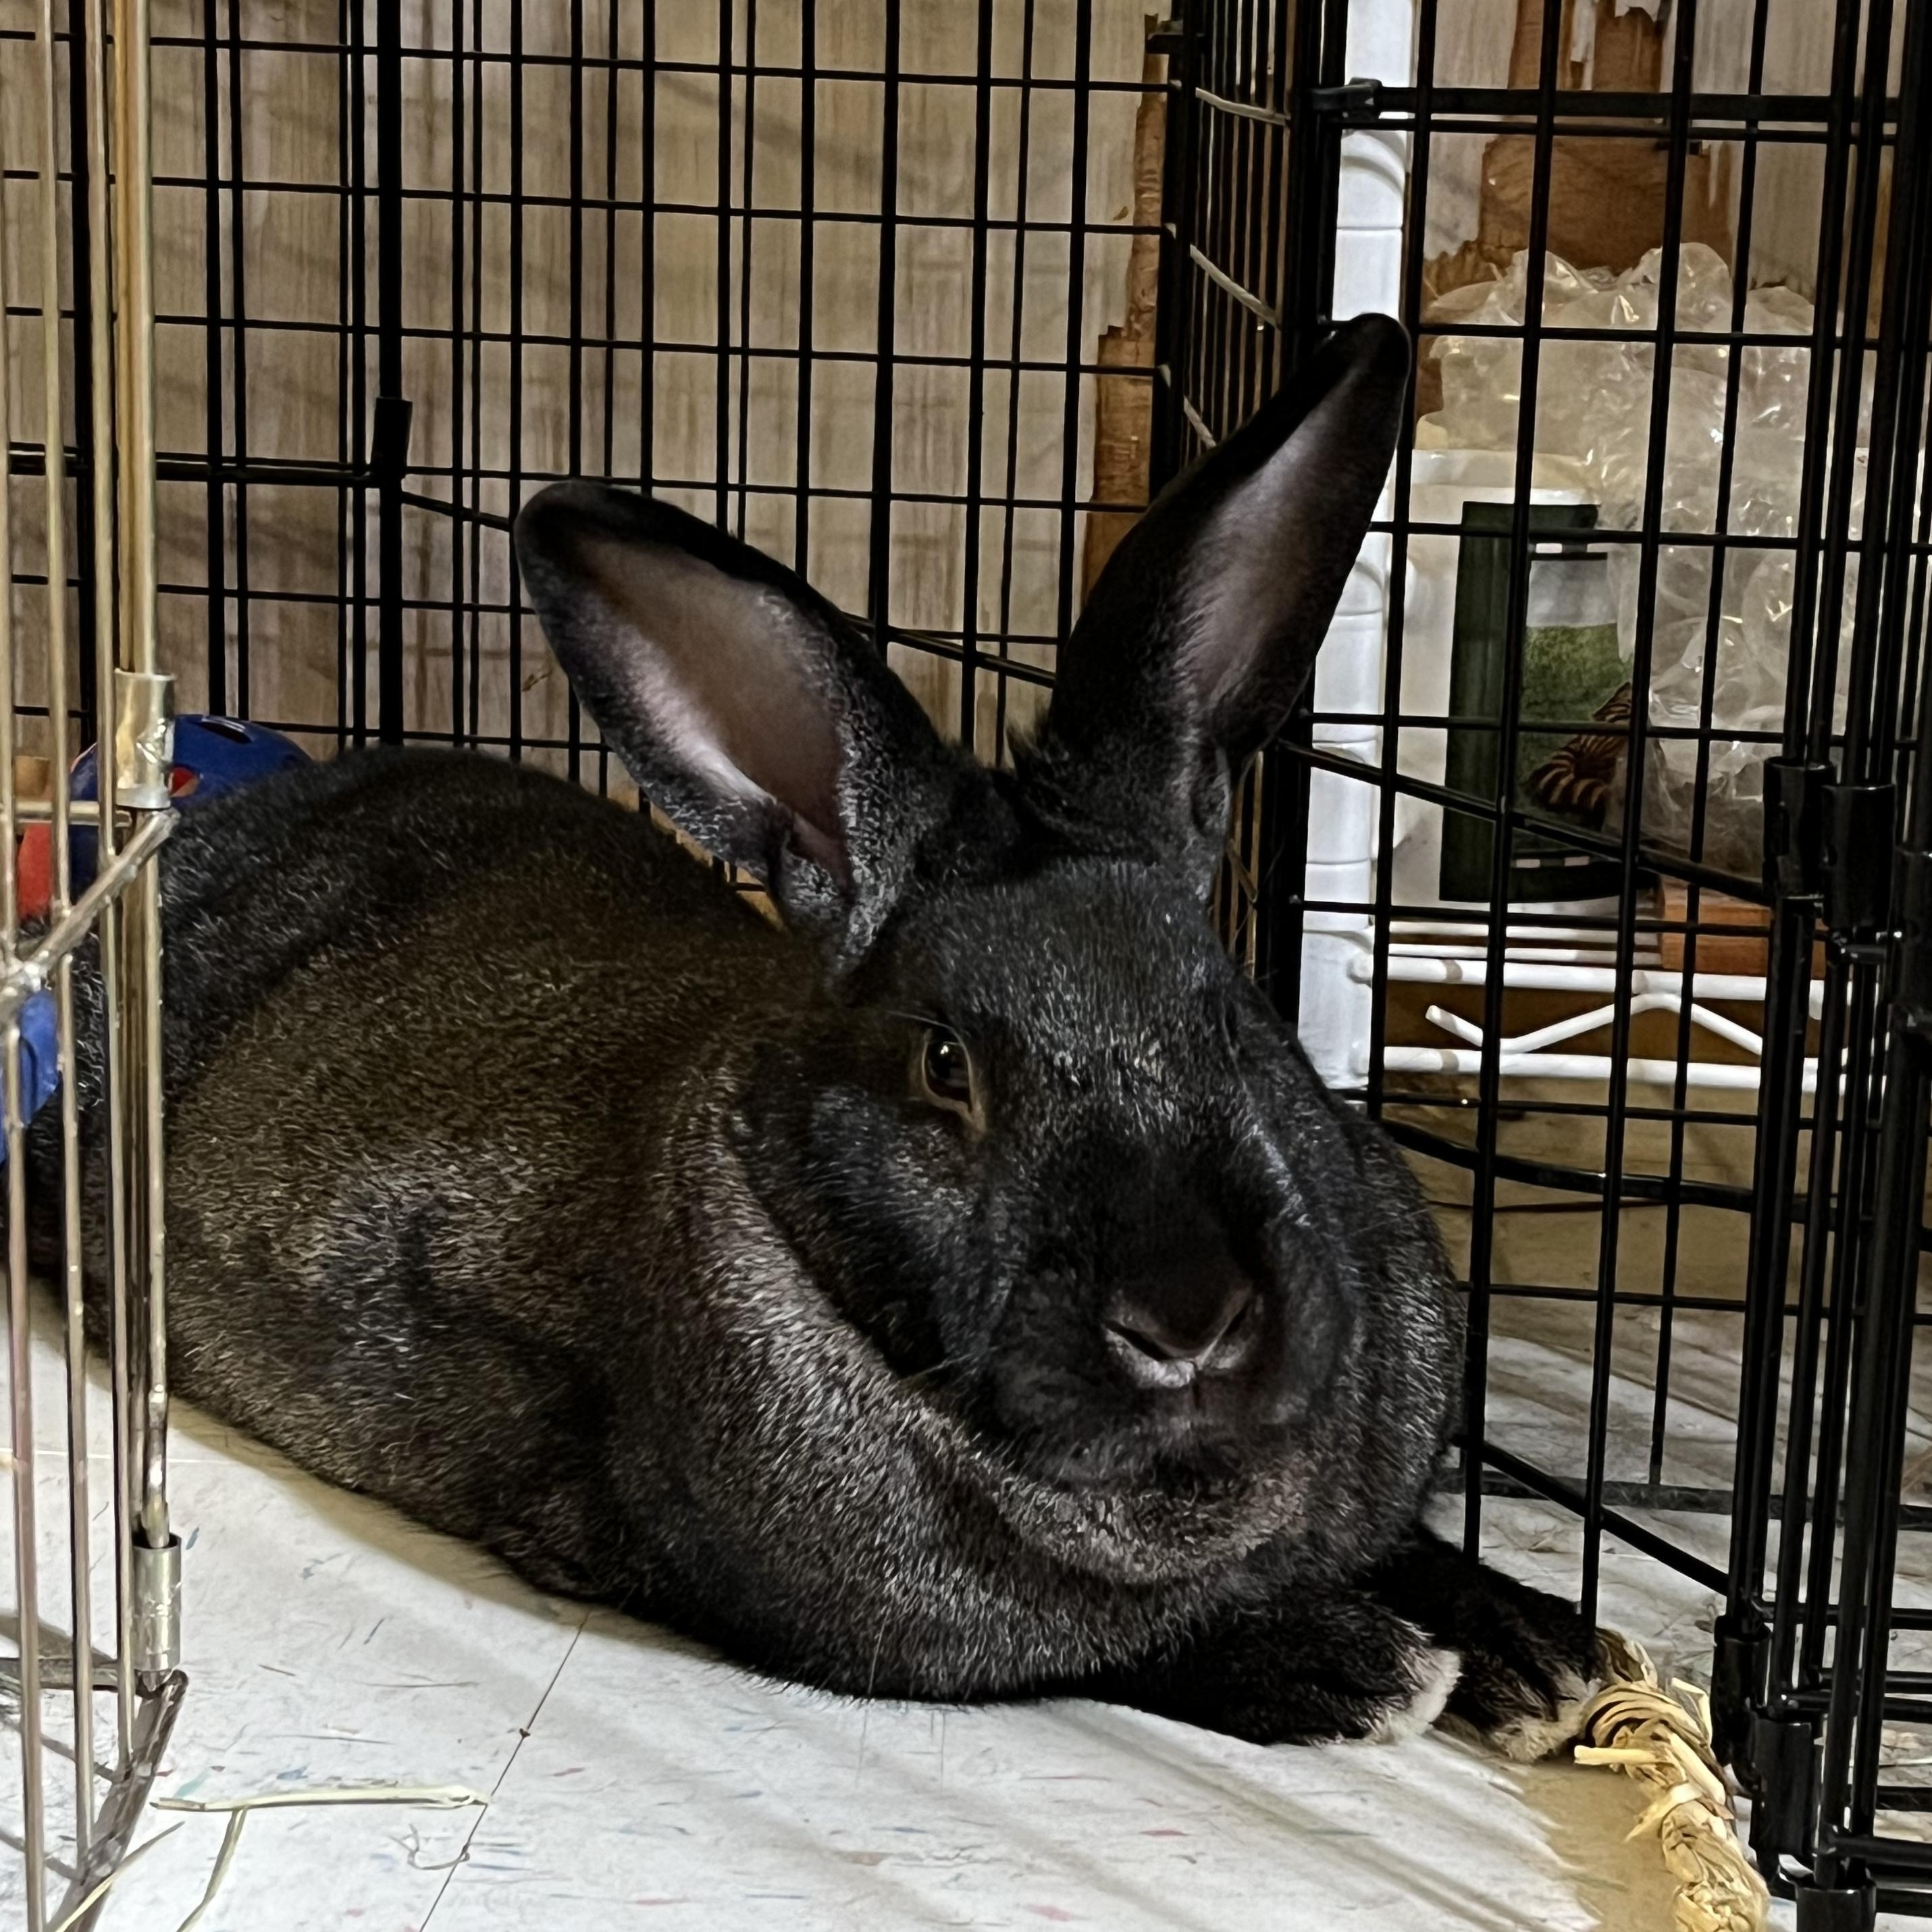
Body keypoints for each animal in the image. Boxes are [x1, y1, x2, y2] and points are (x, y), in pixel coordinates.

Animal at [35, 314, 1602, 1759]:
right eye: (944, 1066)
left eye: (1230, 1006)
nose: (1188, 1324)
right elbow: (1128, 1641)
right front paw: (1364, 1668)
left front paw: (1553, 1656)